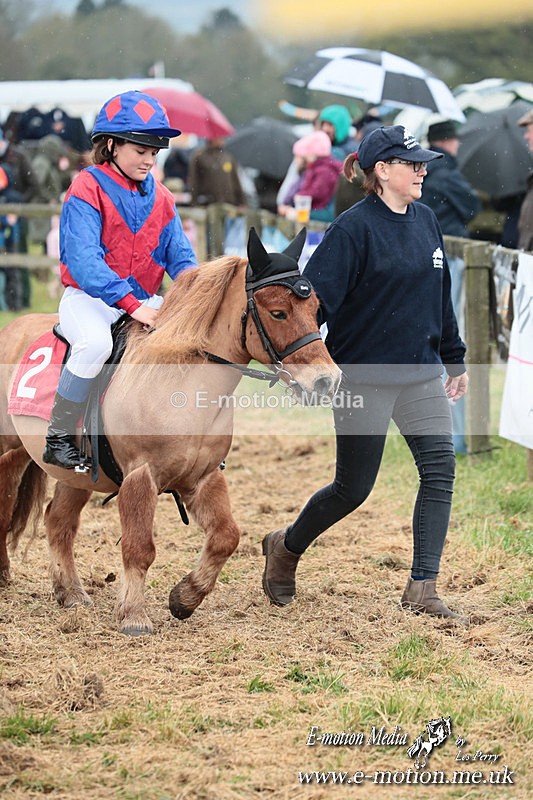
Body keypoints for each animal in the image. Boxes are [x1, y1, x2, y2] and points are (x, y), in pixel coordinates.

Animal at [0, 227, 341, 635]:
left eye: (315, 307)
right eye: (278, 312)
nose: (327, 381)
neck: (182, 385)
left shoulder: (203, 478)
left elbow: (226, 537)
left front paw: (185, 597)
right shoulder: (140, 478)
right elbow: (139, 548)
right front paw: (134, 616)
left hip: (76, 475)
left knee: (58, 522)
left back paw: (71, 592)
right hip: (8, 452)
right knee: (6, 508)